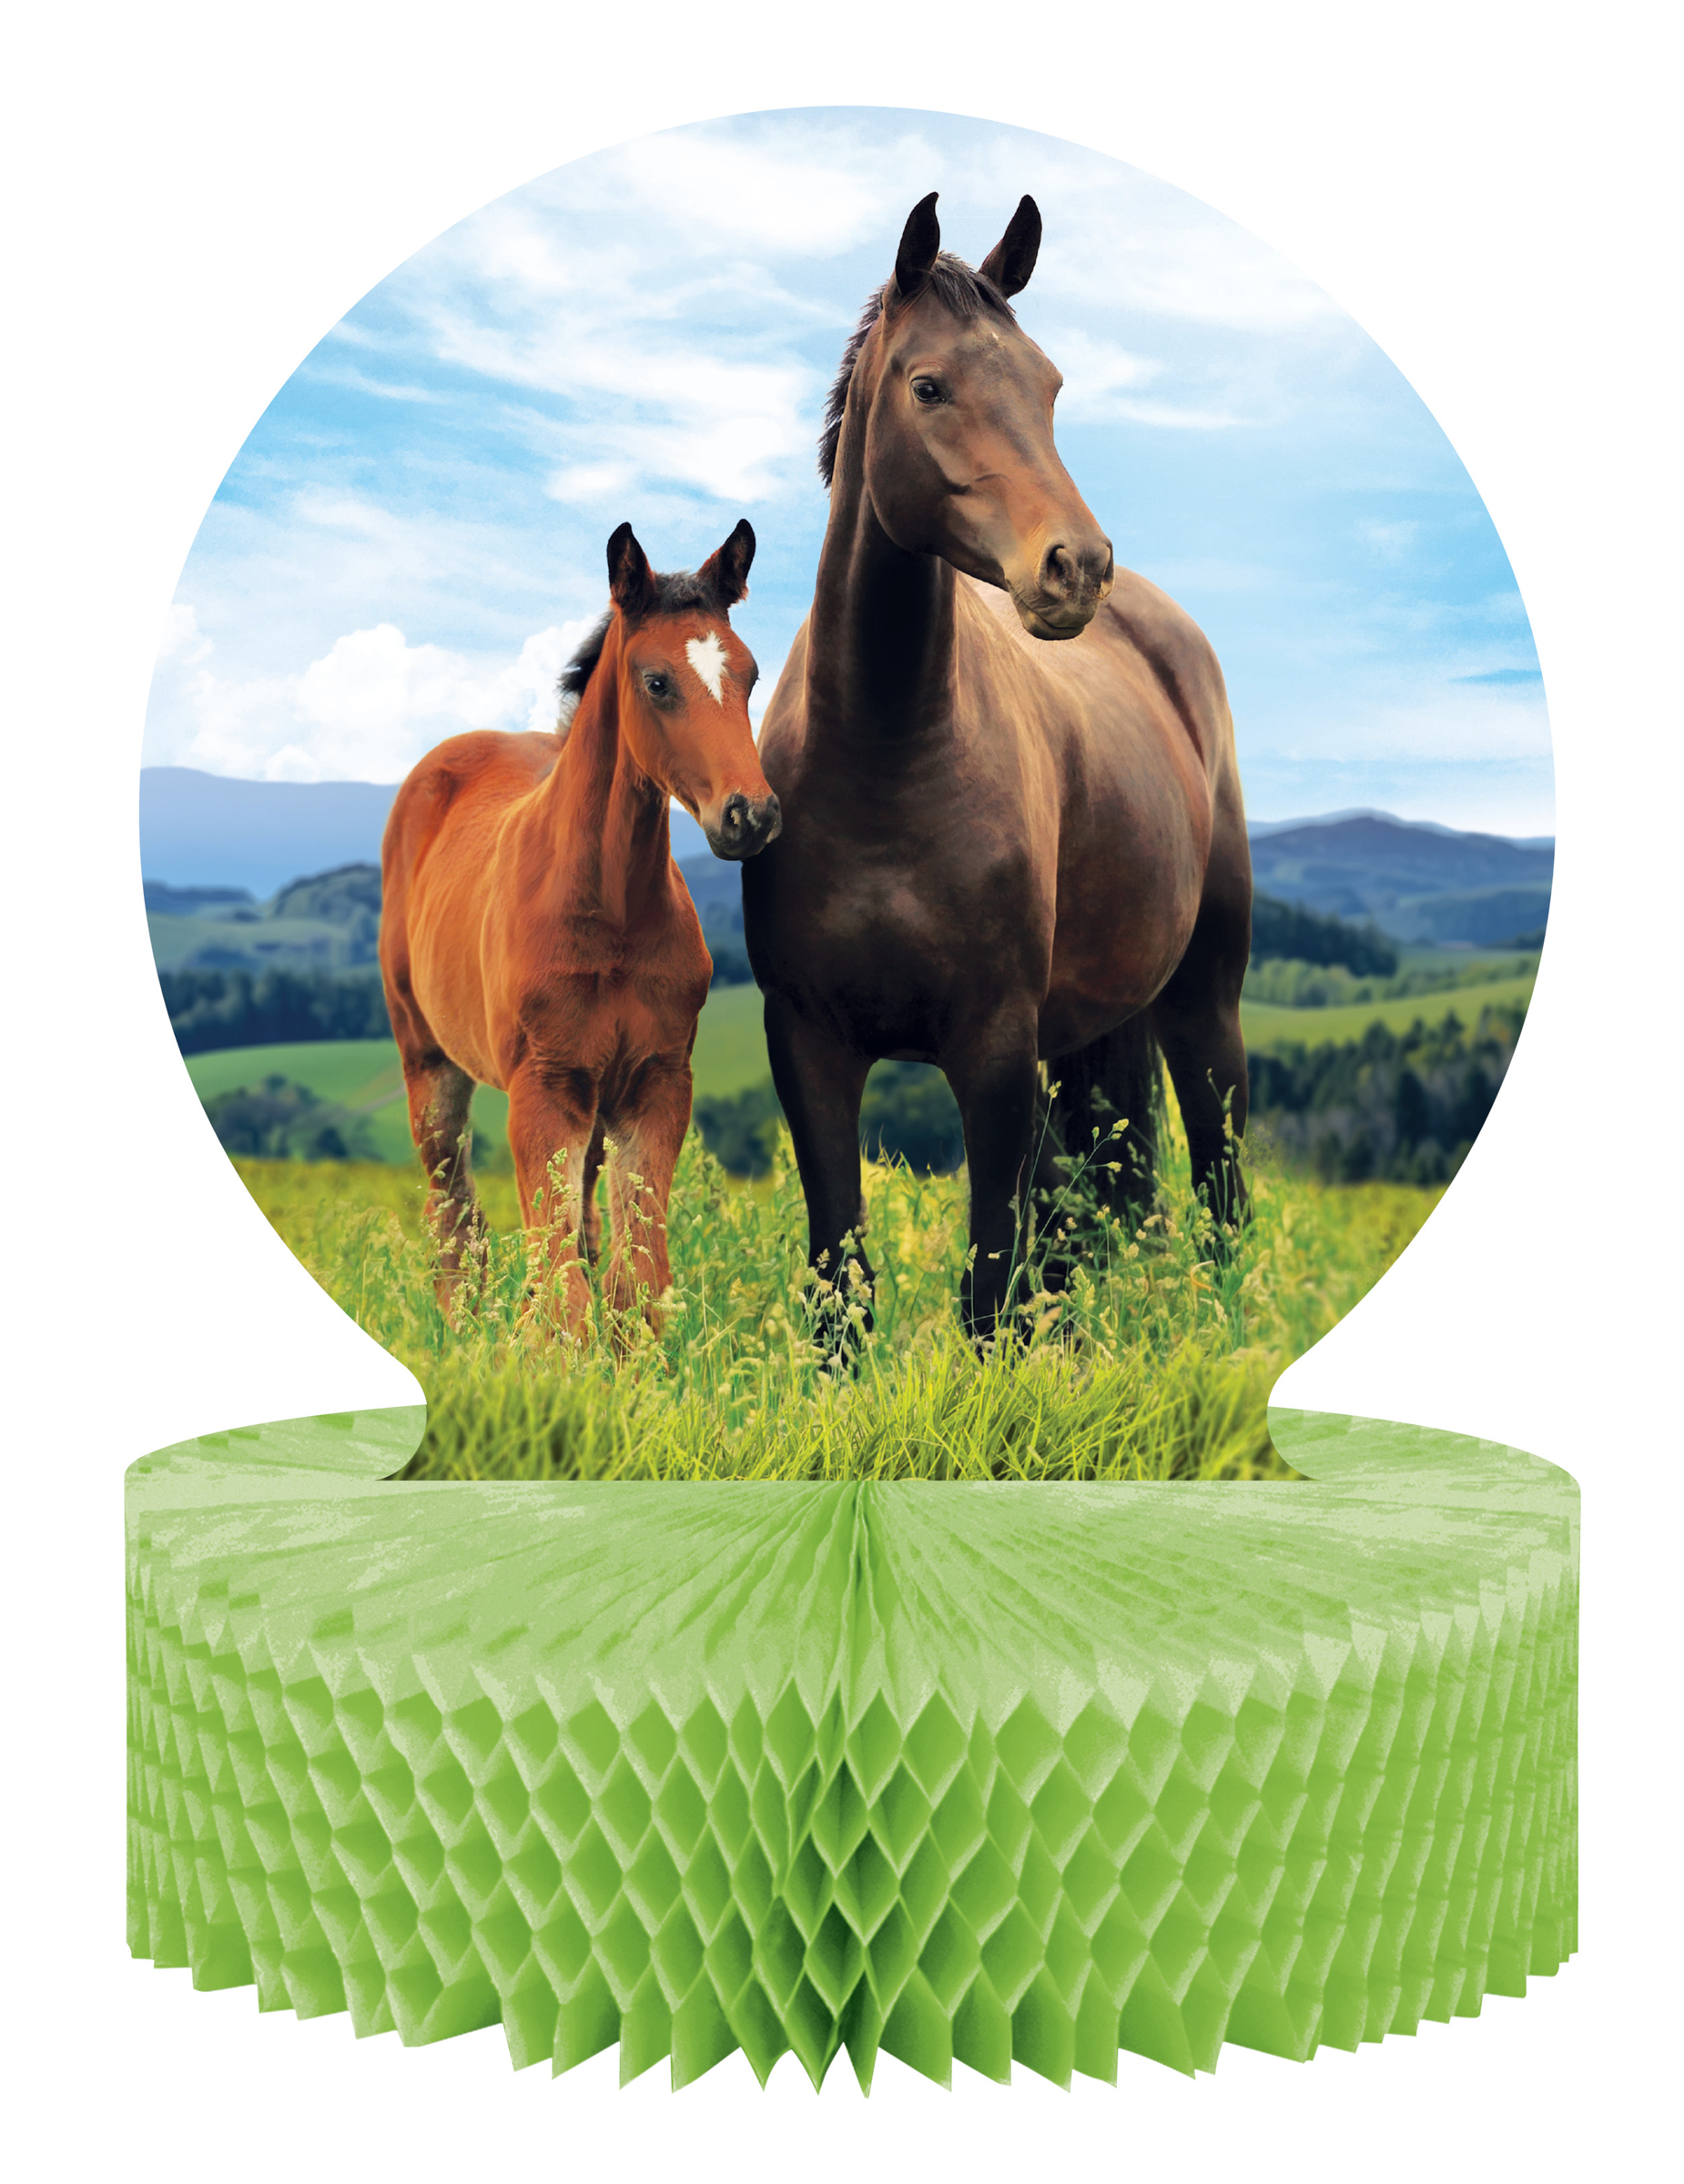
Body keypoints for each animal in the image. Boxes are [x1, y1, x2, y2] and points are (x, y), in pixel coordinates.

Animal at [379, 520, 781, 1338]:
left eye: (751, 675)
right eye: (656, 681)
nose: (749, 815)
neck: (611, 912)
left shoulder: (656, 1084)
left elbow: (636, 1287)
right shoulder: (543, 1089)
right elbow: (563, 1294)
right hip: (429, 1061)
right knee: (455, 1223)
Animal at [742, 193, 1251, 1344]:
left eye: (1048, 385)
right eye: (929, 386)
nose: (1075, 567)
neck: (884, 757)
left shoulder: (993, 1049)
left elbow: (990, 1290)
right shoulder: (809, 1045)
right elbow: (845, 1291)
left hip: (1203, 1003)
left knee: (1220, 1199)